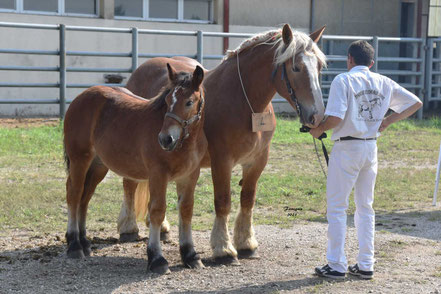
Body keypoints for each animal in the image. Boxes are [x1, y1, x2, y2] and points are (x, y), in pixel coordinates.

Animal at [63, 63, 206, 274]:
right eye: (167, 100)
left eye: (189, 102)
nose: (165, 139)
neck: (185, 144)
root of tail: (80, 98)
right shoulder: (158, 175)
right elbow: (157, 211)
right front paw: (157, 259)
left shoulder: (190, 176)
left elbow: (186, 210)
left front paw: (190, 255)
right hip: (79, 159)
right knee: (74, 193)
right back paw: (74, 245)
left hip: (98, 166)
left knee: (85, 197)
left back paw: (84, 242)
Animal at [118, 24, 324, 264]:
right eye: (296, 67)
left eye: (319, 66)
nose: (317, 116)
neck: (246, 103)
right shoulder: (222, 161)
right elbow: (223, 201)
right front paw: (224, 248)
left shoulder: (258, 161)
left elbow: (247, 199)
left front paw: (246, 243)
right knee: (129, 185)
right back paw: (128, 227)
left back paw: (162, 228)